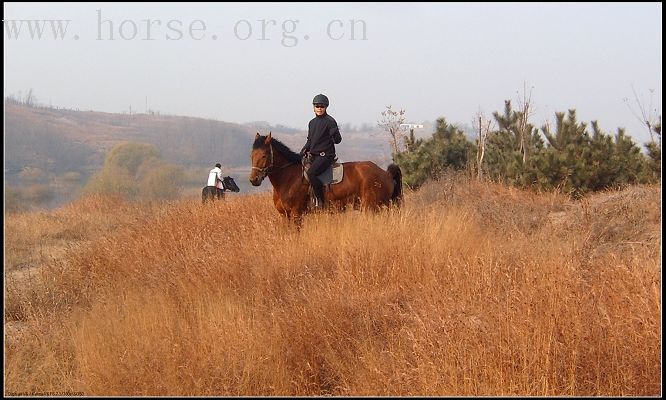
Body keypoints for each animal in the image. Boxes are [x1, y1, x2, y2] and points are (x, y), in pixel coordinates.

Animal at [248, 132, 400, 223]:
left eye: (264, 156)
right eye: (252, 155)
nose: (253, 180)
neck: (288, 177)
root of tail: (385, 173)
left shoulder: (296, 214)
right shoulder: (284, 215)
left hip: (372, 208)